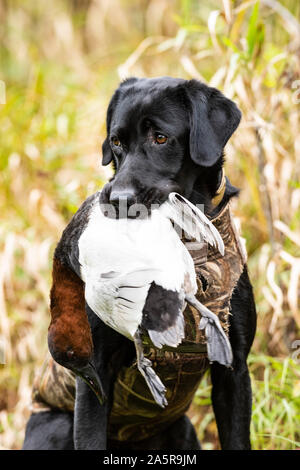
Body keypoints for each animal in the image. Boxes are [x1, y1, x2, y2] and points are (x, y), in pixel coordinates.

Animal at [23, 78, 256, 452]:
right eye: (117, 142)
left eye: (160, 137)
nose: (117, 200)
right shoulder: (96, 374)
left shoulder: (235, 375)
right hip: (58, 425)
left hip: (183, 429)